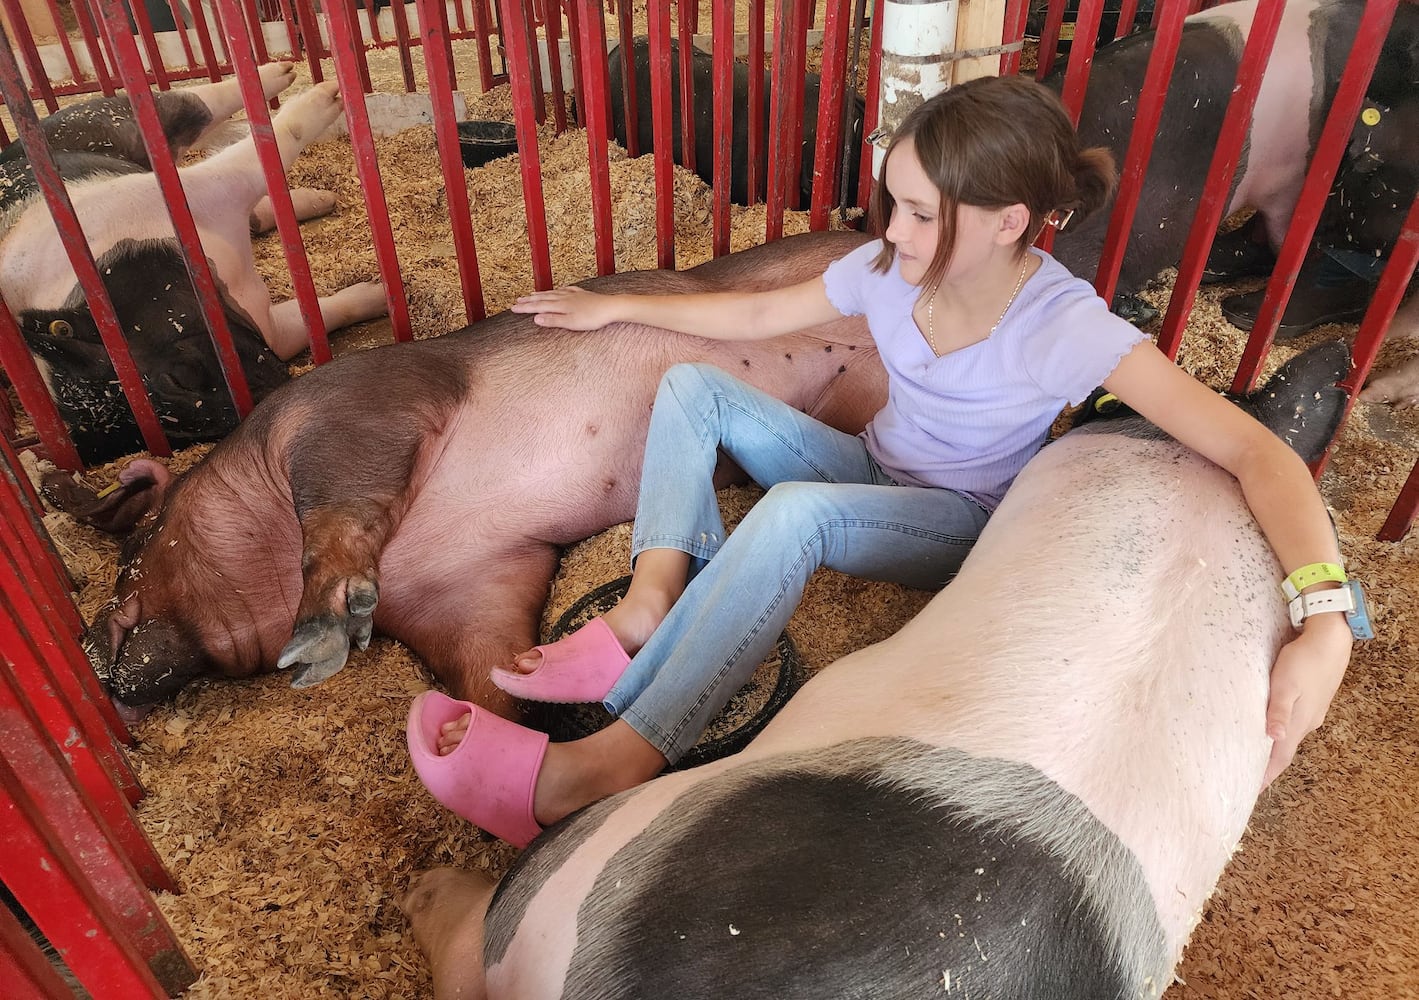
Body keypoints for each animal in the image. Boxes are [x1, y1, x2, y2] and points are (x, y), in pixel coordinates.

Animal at [0, 68, 388, 465]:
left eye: (180, 378)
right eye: (184, 438)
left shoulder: (170, 195)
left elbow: (262, 151)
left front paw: (328, 93)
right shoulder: (266, 326)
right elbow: (312, 318)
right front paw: (381, 295)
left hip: (106, 122)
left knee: (193, 104)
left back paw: (289, 74)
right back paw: (324, 198)